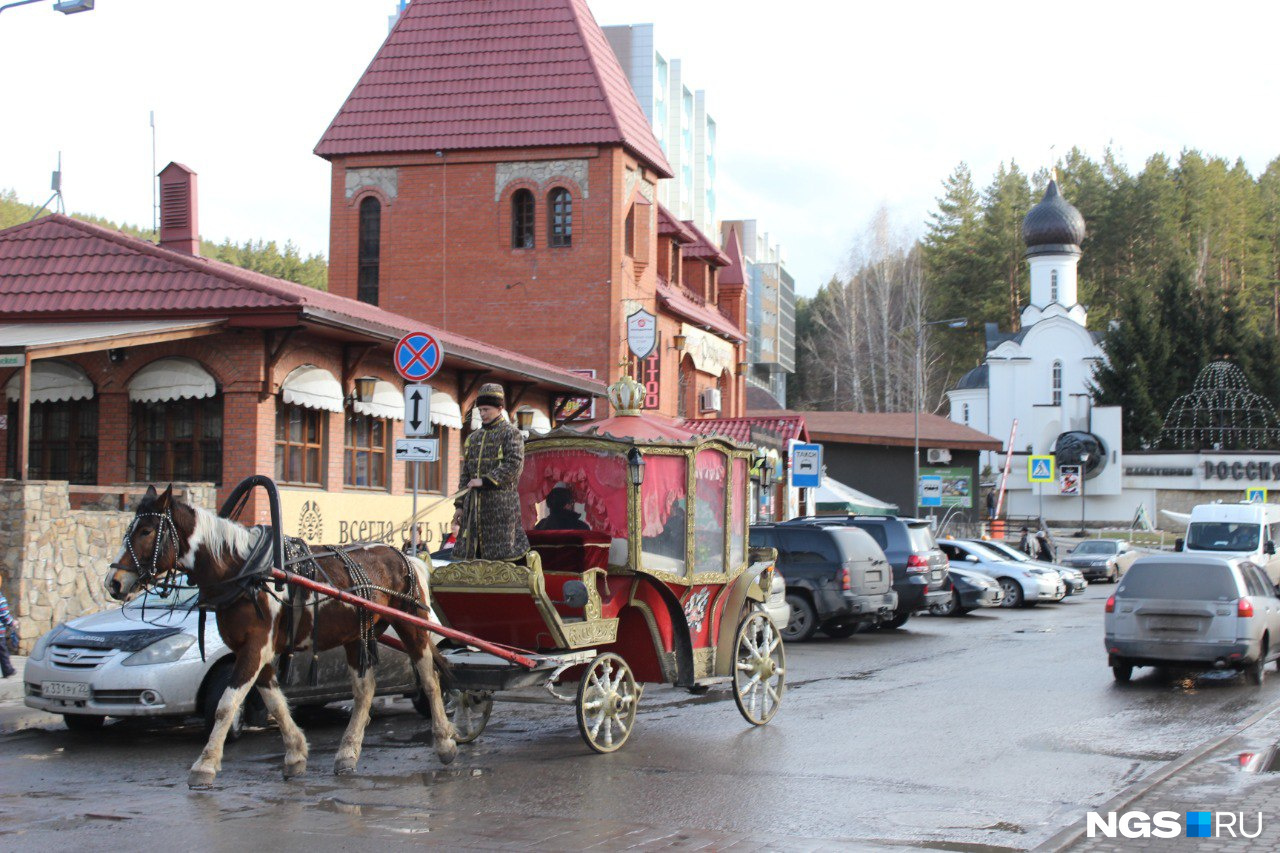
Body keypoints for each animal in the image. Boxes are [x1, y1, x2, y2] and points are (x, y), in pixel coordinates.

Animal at [104, 481, 455, 788]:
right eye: (129, 530)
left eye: (147, 531)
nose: (113, 582)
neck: (245, 571)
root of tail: (405, 556)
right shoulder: (253, 650)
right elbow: (273, 701)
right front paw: (296, 754)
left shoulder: (255, 648)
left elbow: (226, 705)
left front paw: (204, 766)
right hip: (357, 635)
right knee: (365, 690)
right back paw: (347, 752)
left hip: (412, 624)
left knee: (429, 679)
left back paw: (444, 742)